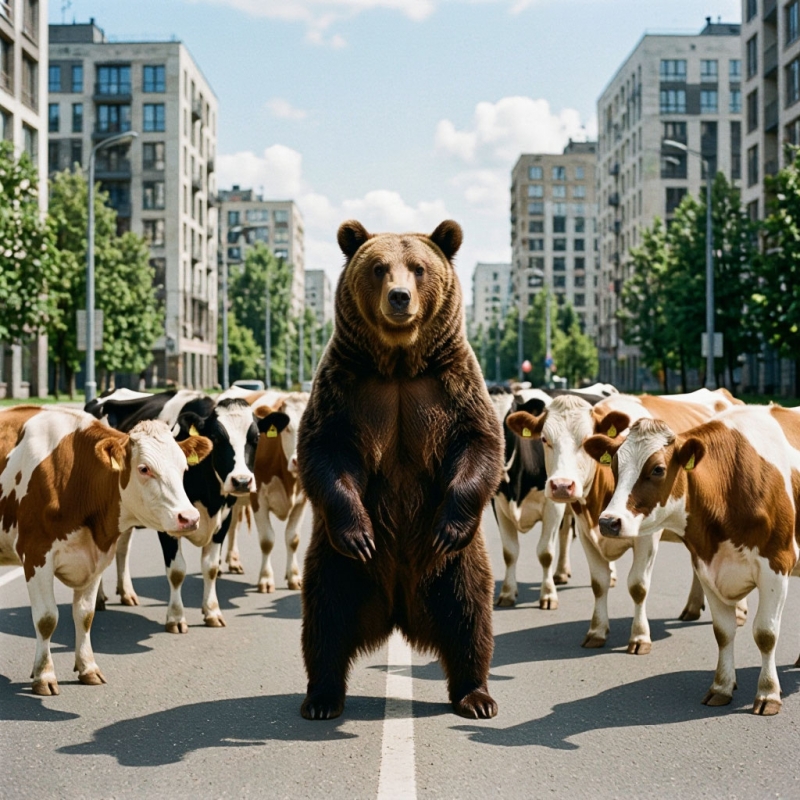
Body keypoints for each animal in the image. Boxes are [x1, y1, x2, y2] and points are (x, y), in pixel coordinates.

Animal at [296, 218, 504, 721]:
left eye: (419, 267)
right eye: (378, 267)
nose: (399, 296)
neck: (398, 365)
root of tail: (397, 611)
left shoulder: (452, 384)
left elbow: (480, 442)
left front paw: (447, 527)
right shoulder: (345, 388)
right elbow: (323, 449)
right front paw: (360, 534)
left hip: (456, 567)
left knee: (470, 617)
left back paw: (476, 695)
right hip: (336, 564)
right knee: (326, 619)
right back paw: (322, 697)